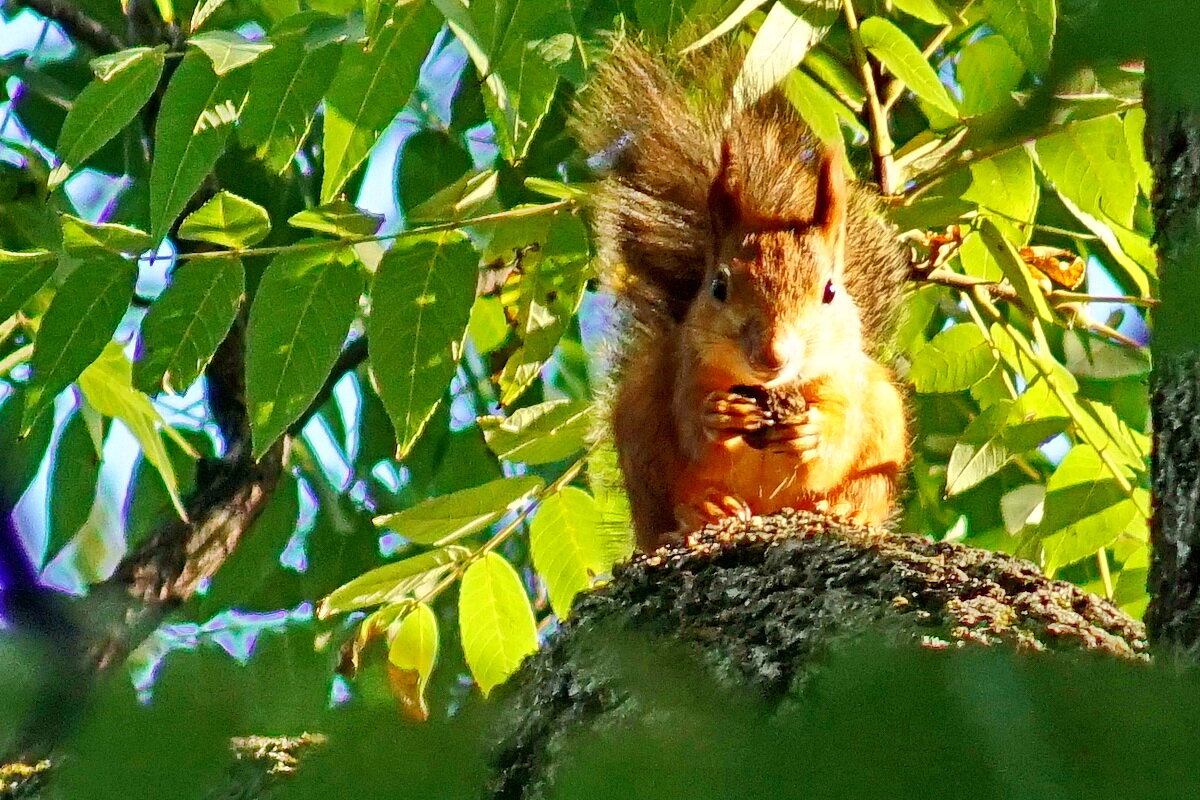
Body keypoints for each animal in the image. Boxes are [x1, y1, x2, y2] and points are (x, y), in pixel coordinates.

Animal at [571, 43, 907, 554]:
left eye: (830, 291)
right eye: (718, 287)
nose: (771, 355)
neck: (769, 390)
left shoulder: (843, 382)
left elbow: (840, 433)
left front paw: (813, 430)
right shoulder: (685, 374)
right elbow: (692, 425)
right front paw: (720, 415)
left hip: (885, 425)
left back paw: (843, 510)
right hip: (641, 442)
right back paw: (705, 511)